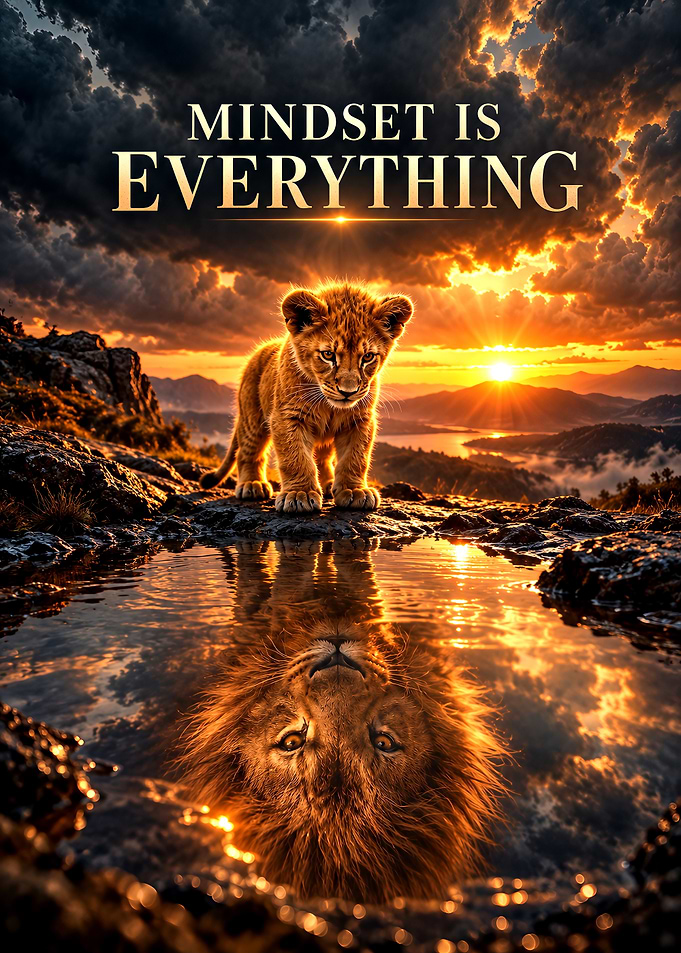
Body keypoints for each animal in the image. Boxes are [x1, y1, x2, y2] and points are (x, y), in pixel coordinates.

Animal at [198, 281, 413, 513]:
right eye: (328, 355)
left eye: (368, 357)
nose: (348, 392)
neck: (328, 405)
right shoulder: (287, 417)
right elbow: (296, 457)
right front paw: (299, 494)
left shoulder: (359, 419)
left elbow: (355, 457)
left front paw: (354, 490)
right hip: (252, 418)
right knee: (249, 451)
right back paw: (252, 484)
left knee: (323, 458)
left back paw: (327, 485)